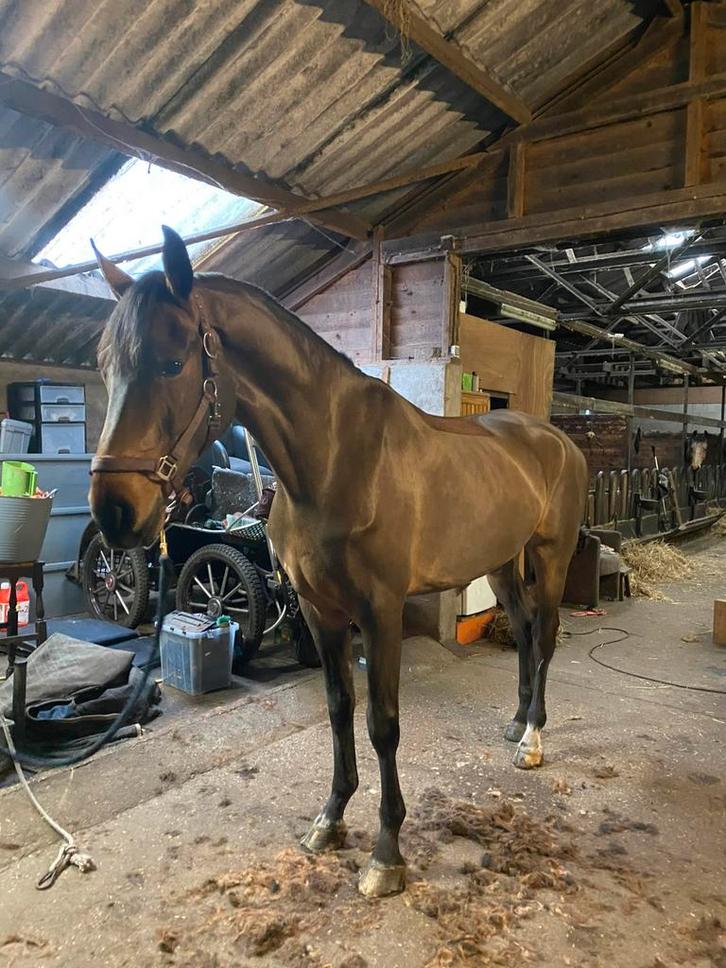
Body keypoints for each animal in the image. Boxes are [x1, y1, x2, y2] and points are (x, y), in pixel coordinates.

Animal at [89, 226, 588, 899]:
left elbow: (382, 723)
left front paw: (387, 855)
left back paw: (533, 738)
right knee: (529, 632)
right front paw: (329, 820)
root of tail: (556, 439)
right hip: (503, 565)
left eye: (171, 361)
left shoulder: (379, 612)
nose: (115, 512)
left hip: (551, 557)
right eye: (104, 365)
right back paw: (515, 725)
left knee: (547, 637)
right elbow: (337, 709)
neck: (331, 460)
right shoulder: (322, 611)